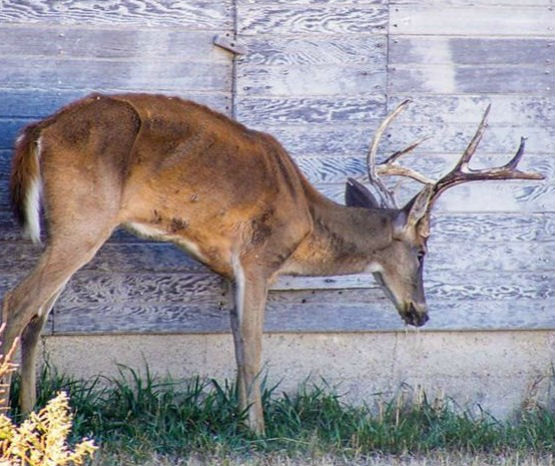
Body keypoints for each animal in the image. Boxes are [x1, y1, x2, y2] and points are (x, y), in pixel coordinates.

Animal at [0, 93, 544, 436]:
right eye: (424, 250)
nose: (422, 313)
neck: (305, 218)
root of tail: (38, 131)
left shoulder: (229, 272)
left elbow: (239, 346)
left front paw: (241, 421)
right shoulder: (259, 259)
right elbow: (256, 350)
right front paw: (259, 430)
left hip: (72, 228)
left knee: (36, 317)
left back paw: (34, 418)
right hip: (84, 220)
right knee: (17, 302)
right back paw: (12, 420)